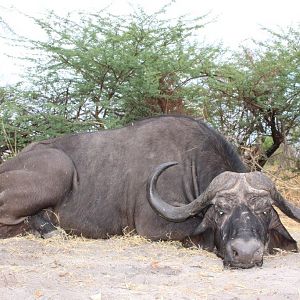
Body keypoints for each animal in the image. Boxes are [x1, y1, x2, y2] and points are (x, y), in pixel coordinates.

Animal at [0, 116, 298, 268]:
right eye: (221, 211)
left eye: (264, 211)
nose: (245, 253)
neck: (190, 160)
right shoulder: (153, 226)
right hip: (58, 169)